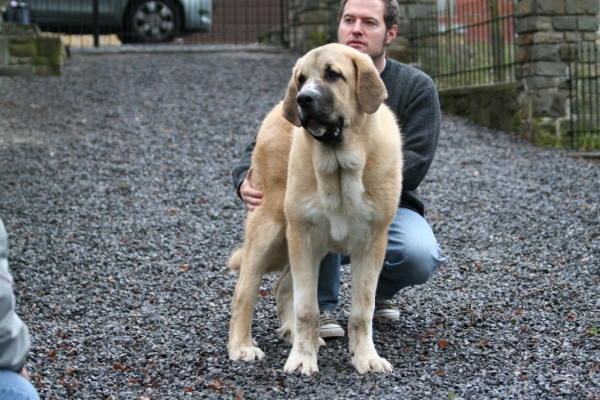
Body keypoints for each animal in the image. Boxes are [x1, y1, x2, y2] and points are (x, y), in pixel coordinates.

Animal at [230, 43, 404, 376]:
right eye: (301, 78)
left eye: (333, 74)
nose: (303, 99)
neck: (338, 168)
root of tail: (275, 112)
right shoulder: (304, 238)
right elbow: (307, 308)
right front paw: (302, 358)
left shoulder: (371, 244)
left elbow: (363, 310)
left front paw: (365, 357)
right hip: (270, 230)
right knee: (245, 290)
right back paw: (242, 346)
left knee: (281, 287)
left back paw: (290, 334)